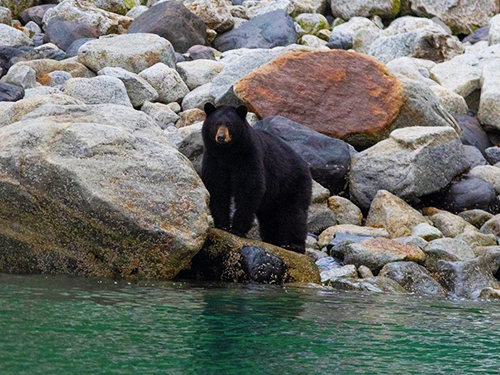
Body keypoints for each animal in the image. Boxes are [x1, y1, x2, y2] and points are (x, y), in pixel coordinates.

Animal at [200, 104, 310, 254]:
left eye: (230, 124)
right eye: (216, 123)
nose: (221, 137)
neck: (227, 154)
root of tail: (306, 165)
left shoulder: (249, 156)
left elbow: (249, 187)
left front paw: (237, 229)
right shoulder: (214, 159)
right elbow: (217, 188)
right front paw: (222, 225)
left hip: (293, 183)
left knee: (294, 213)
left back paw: (294, 245)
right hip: (273, 198)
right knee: (269, 218)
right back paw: (272, 240)